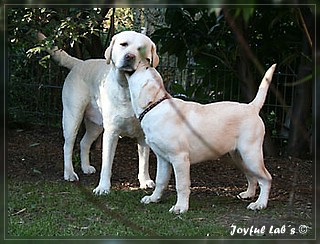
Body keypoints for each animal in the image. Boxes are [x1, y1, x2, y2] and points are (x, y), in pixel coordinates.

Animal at [37, 31, 159, 194]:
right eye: (123, 44)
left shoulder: (143, 135)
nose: (130, 56)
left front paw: (145, 181)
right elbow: (106, 164)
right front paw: (103, 187)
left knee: (84, 143)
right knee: (68, 146)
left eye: (141, 49)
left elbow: (144, 161)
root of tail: (80, 63)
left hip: (96, 125)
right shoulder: (111, 133)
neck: (127, 89)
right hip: (72, 117)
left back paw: (85, 167)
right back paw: (69, 173)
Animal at [126, 61, 276, 214]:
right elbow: (160, 181)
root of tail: (252, 107)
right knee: (252, 176)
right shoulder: (162, 158)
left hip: (251, 154)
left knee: (266, 178)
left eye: (145, 68)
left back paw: (260, 204)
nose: (145, 61)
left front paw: (180, 207)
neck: (155, 106)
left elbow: (181, 185)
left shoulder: (179, 158)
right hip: (239, 156)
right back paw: (249, 194)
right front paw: (153, 198)